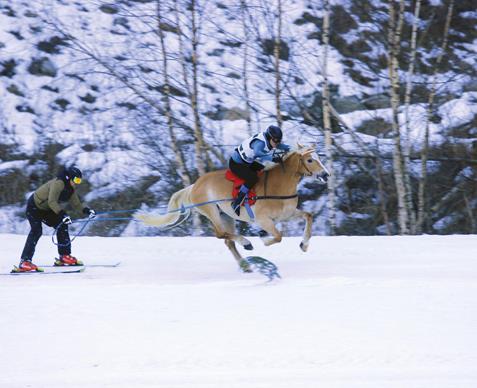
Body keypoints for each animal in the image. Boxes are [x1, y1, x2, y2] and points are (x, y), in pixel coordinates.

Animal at [136, 144, 330, 272]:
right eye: (310, 160)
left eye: (319, 158)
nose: (326, 175)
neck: (278, 186)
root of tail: (194, 186)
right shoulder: (263, 220)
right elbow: (278, 236)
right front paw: (263, 238)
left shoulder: (287, 215)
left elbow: (309, 216)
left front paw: (304, 245)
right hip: (213, 213)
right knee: (221, 234)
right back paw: (246, 243)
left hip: (227, 216)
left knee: (228, 241)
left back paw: (245, 265)